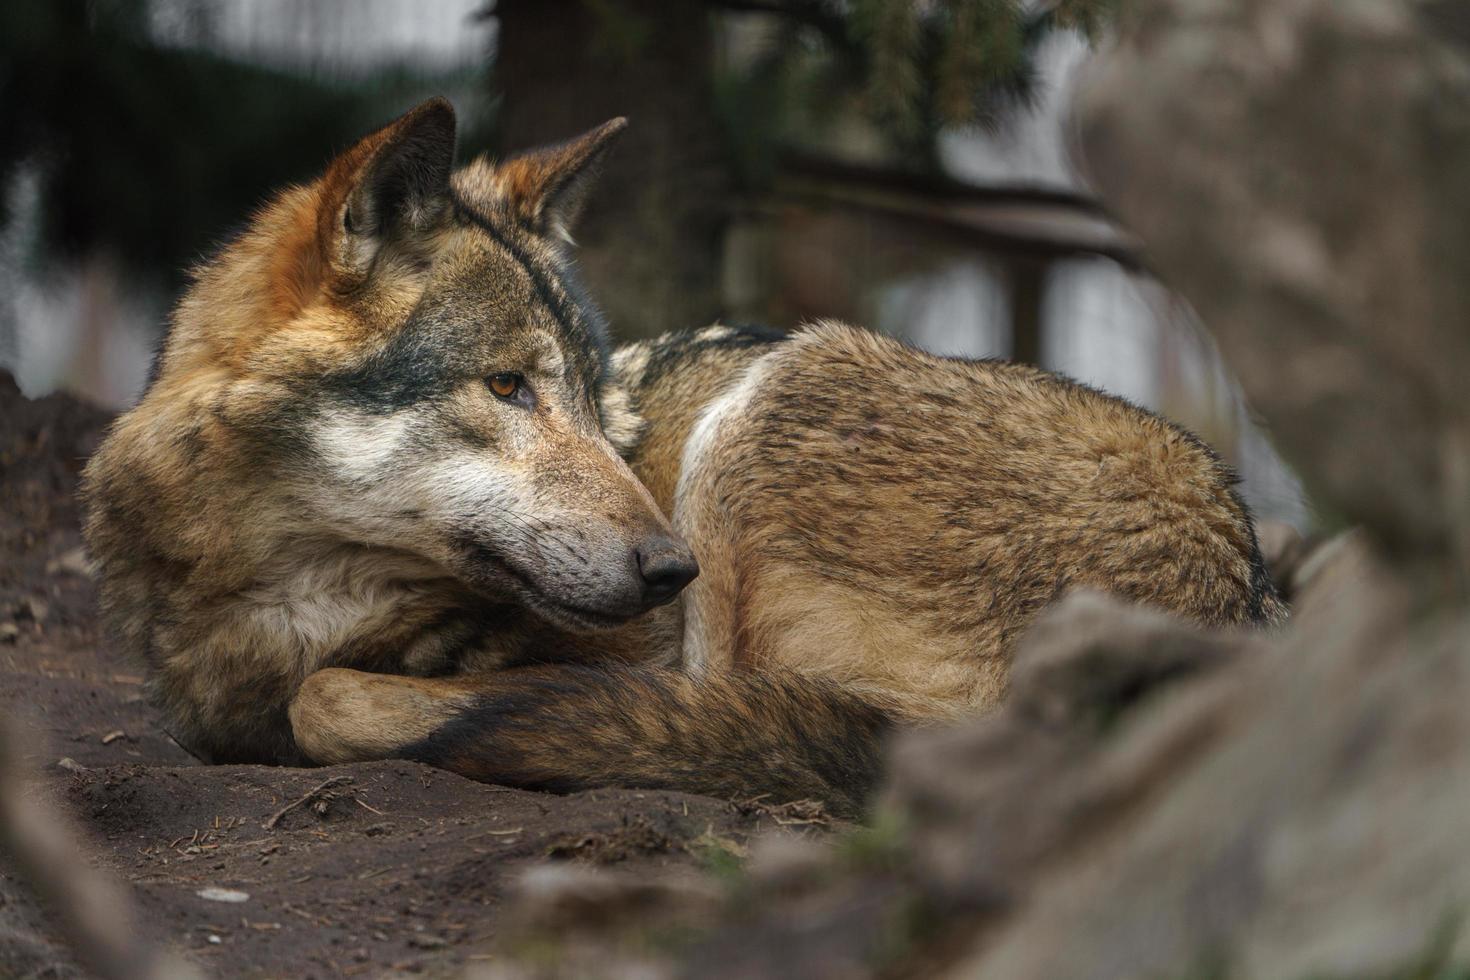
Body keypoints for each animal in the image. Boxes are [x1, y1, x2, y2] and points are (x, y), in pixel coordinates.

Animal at [80, 99, 1281, 822]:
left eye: (586, 391)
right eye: (508, 386)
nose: (669, 569)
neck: (285, 592)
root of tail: (1236, 580)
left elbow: (324, 695)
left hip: (770, 402)